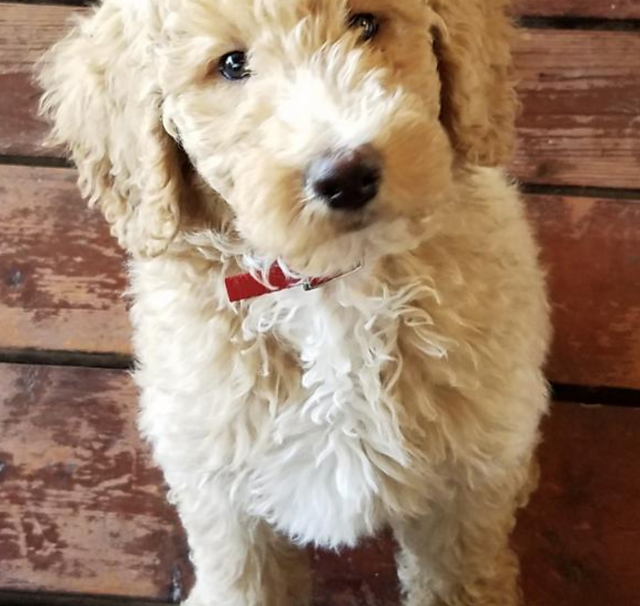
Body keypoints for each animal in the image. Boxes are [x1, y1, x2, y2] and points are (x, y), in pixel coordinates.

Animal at [38, 1, 552, 606]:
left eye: (365, 23)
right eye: (231, 64)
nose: (347, 176)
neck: (328, 287)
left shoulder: (464, 484)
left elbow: (456, 572)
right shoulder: (220, 487)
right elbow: (243, 577)